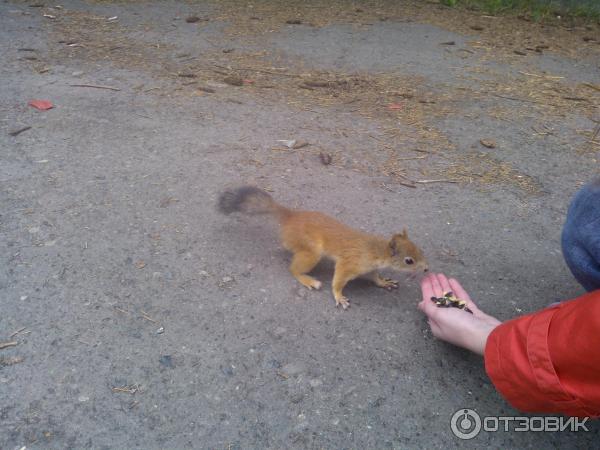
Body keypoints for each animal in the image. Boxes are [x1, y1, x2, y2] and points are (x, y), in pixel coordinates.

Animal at [218, 186, 428, 310]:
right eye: (409, 260)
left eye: (420, 250)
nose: (426, 269)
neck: (376, 251)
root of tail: (290, 216)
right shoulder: (350, 263)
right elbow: (338, 279)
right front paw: (339, 296)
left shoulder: (369, 268)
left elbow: (374, 277)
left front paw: (384, 282)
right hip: (312, 252)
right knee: (293, 269)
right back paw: (308, 280)